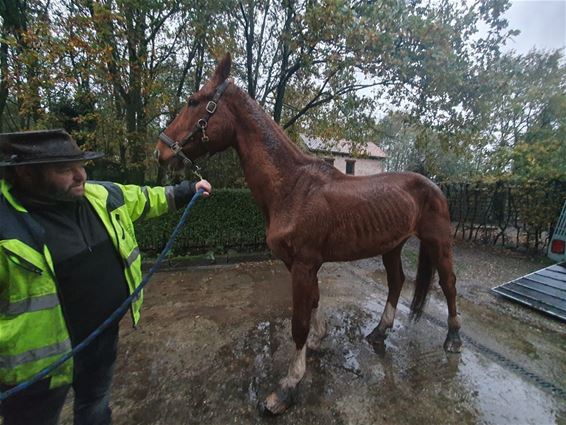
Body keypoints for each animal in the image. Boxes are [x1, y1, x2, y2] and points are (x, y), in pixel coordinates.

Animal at [153, 53, 464, 414]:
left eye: (194, 101)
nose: (161, 152)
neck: (292, 187)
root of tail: (435, 186)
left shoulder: (303, 265)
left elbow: (298, 323)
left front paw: (286, 387)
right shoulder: (299, 264)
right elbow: (314, 302)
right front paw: (318, 339)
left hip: (438, 241)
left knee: (449, 284)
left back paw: (453, 339)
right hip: (392, 245)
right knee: (397, 281)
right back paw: (379, 332)